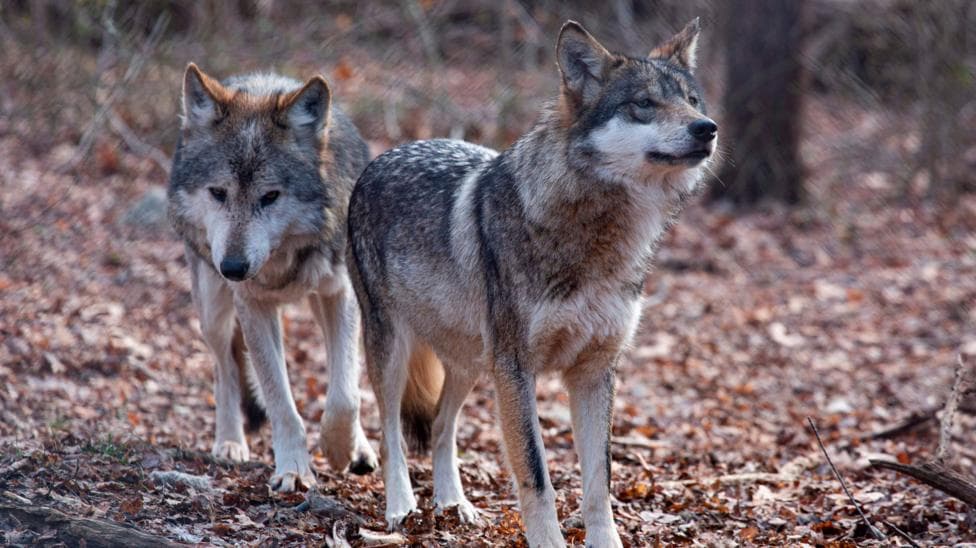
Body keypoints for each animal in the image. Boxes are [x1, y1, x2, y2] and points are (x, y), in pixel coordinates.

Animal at [168, 64, 378, 492]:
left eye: (270, 196)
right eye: (218, 193)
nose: (233, 267)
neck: (282, 260)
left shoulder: (341, 294)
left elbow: (345, 394)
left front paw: (338, 449)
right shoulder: (253, 305)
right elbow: (280, 400)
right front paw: (294, 468)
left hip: (321, 303)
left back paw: (360, 448)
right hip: (213, 310)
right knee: (225, 371)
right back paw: (230, 442)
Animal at [347, 19, 716, 546]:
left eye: (692, 100)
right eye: (643, 103)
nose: (707, 128)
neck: (597, 238)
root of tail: (384, 155)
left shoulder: (594, 371)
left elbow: (600, 482)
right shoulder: (517, 369)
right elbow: (537, 476)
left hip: (472, 363)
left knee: (440, 426)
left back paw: (453, 504)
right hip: (395, 351)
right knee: (391, 433)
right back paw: (401, 508)